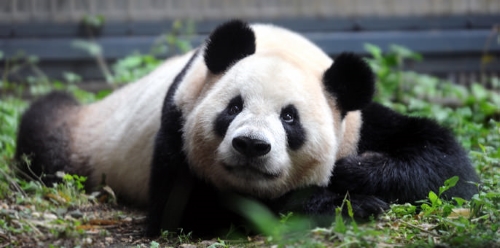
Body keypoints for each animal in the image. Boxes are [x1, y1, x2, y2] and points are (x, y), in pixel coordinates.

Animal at [13, 19, 478, 236]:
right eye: (233, 107)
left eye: (290, 117)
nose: (251, 145)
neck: (279, 46)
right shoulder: (177, 118)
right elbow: (187, 212)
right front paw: (345, 204)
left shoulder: (356, 120)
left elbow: (446, 166)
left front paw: (355, 175)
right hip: (81, 137)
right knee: (44, 127)